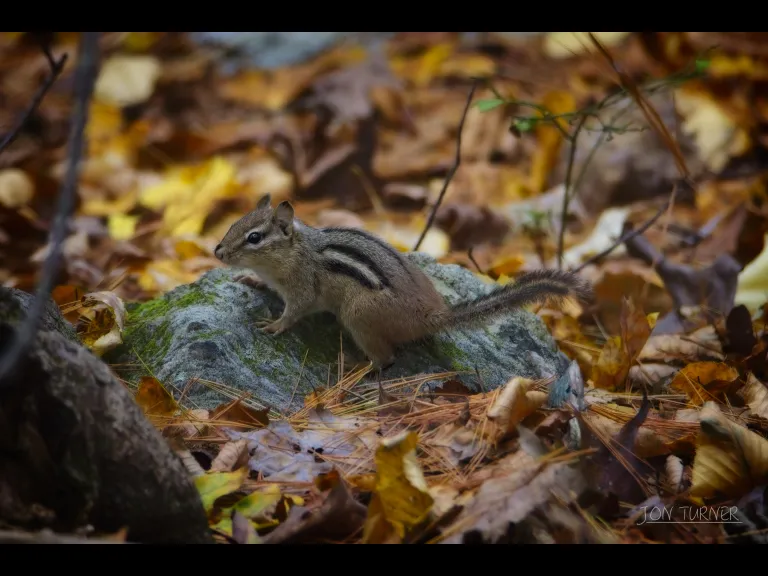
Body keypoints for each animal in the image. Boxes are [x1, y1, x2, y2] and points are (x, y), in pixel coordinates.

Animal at [214, 194, 593, 369]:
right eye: (232, 224)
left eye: (253, 237)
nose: (217, 251)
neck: (295, 252)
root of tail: (431, 315)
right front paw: (251, 280)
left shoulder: (303, 288)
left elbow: (294, 312)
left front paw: (274, 325)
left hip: (358, 315)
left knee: (386, 359)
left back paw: (356, 367)